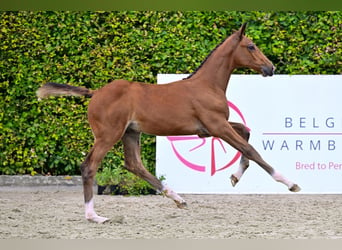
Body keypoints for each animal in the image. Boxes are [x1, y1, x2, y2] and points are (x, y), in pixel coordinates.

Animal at [36, 23, 300, 223]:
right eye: (251, 46)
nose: (270, 67)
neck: (207, 85)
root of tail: (95, 92)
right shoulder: (217, 126)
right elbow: (251, 148)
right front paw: (289, 183)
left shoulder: (209, 129)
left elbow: (246, 132)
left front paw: (235, 177)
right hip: (108, 135)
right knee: (89, 166)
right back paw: (94, 216)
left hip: (130, 133)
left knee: (134, 164)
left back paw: (178, 198)